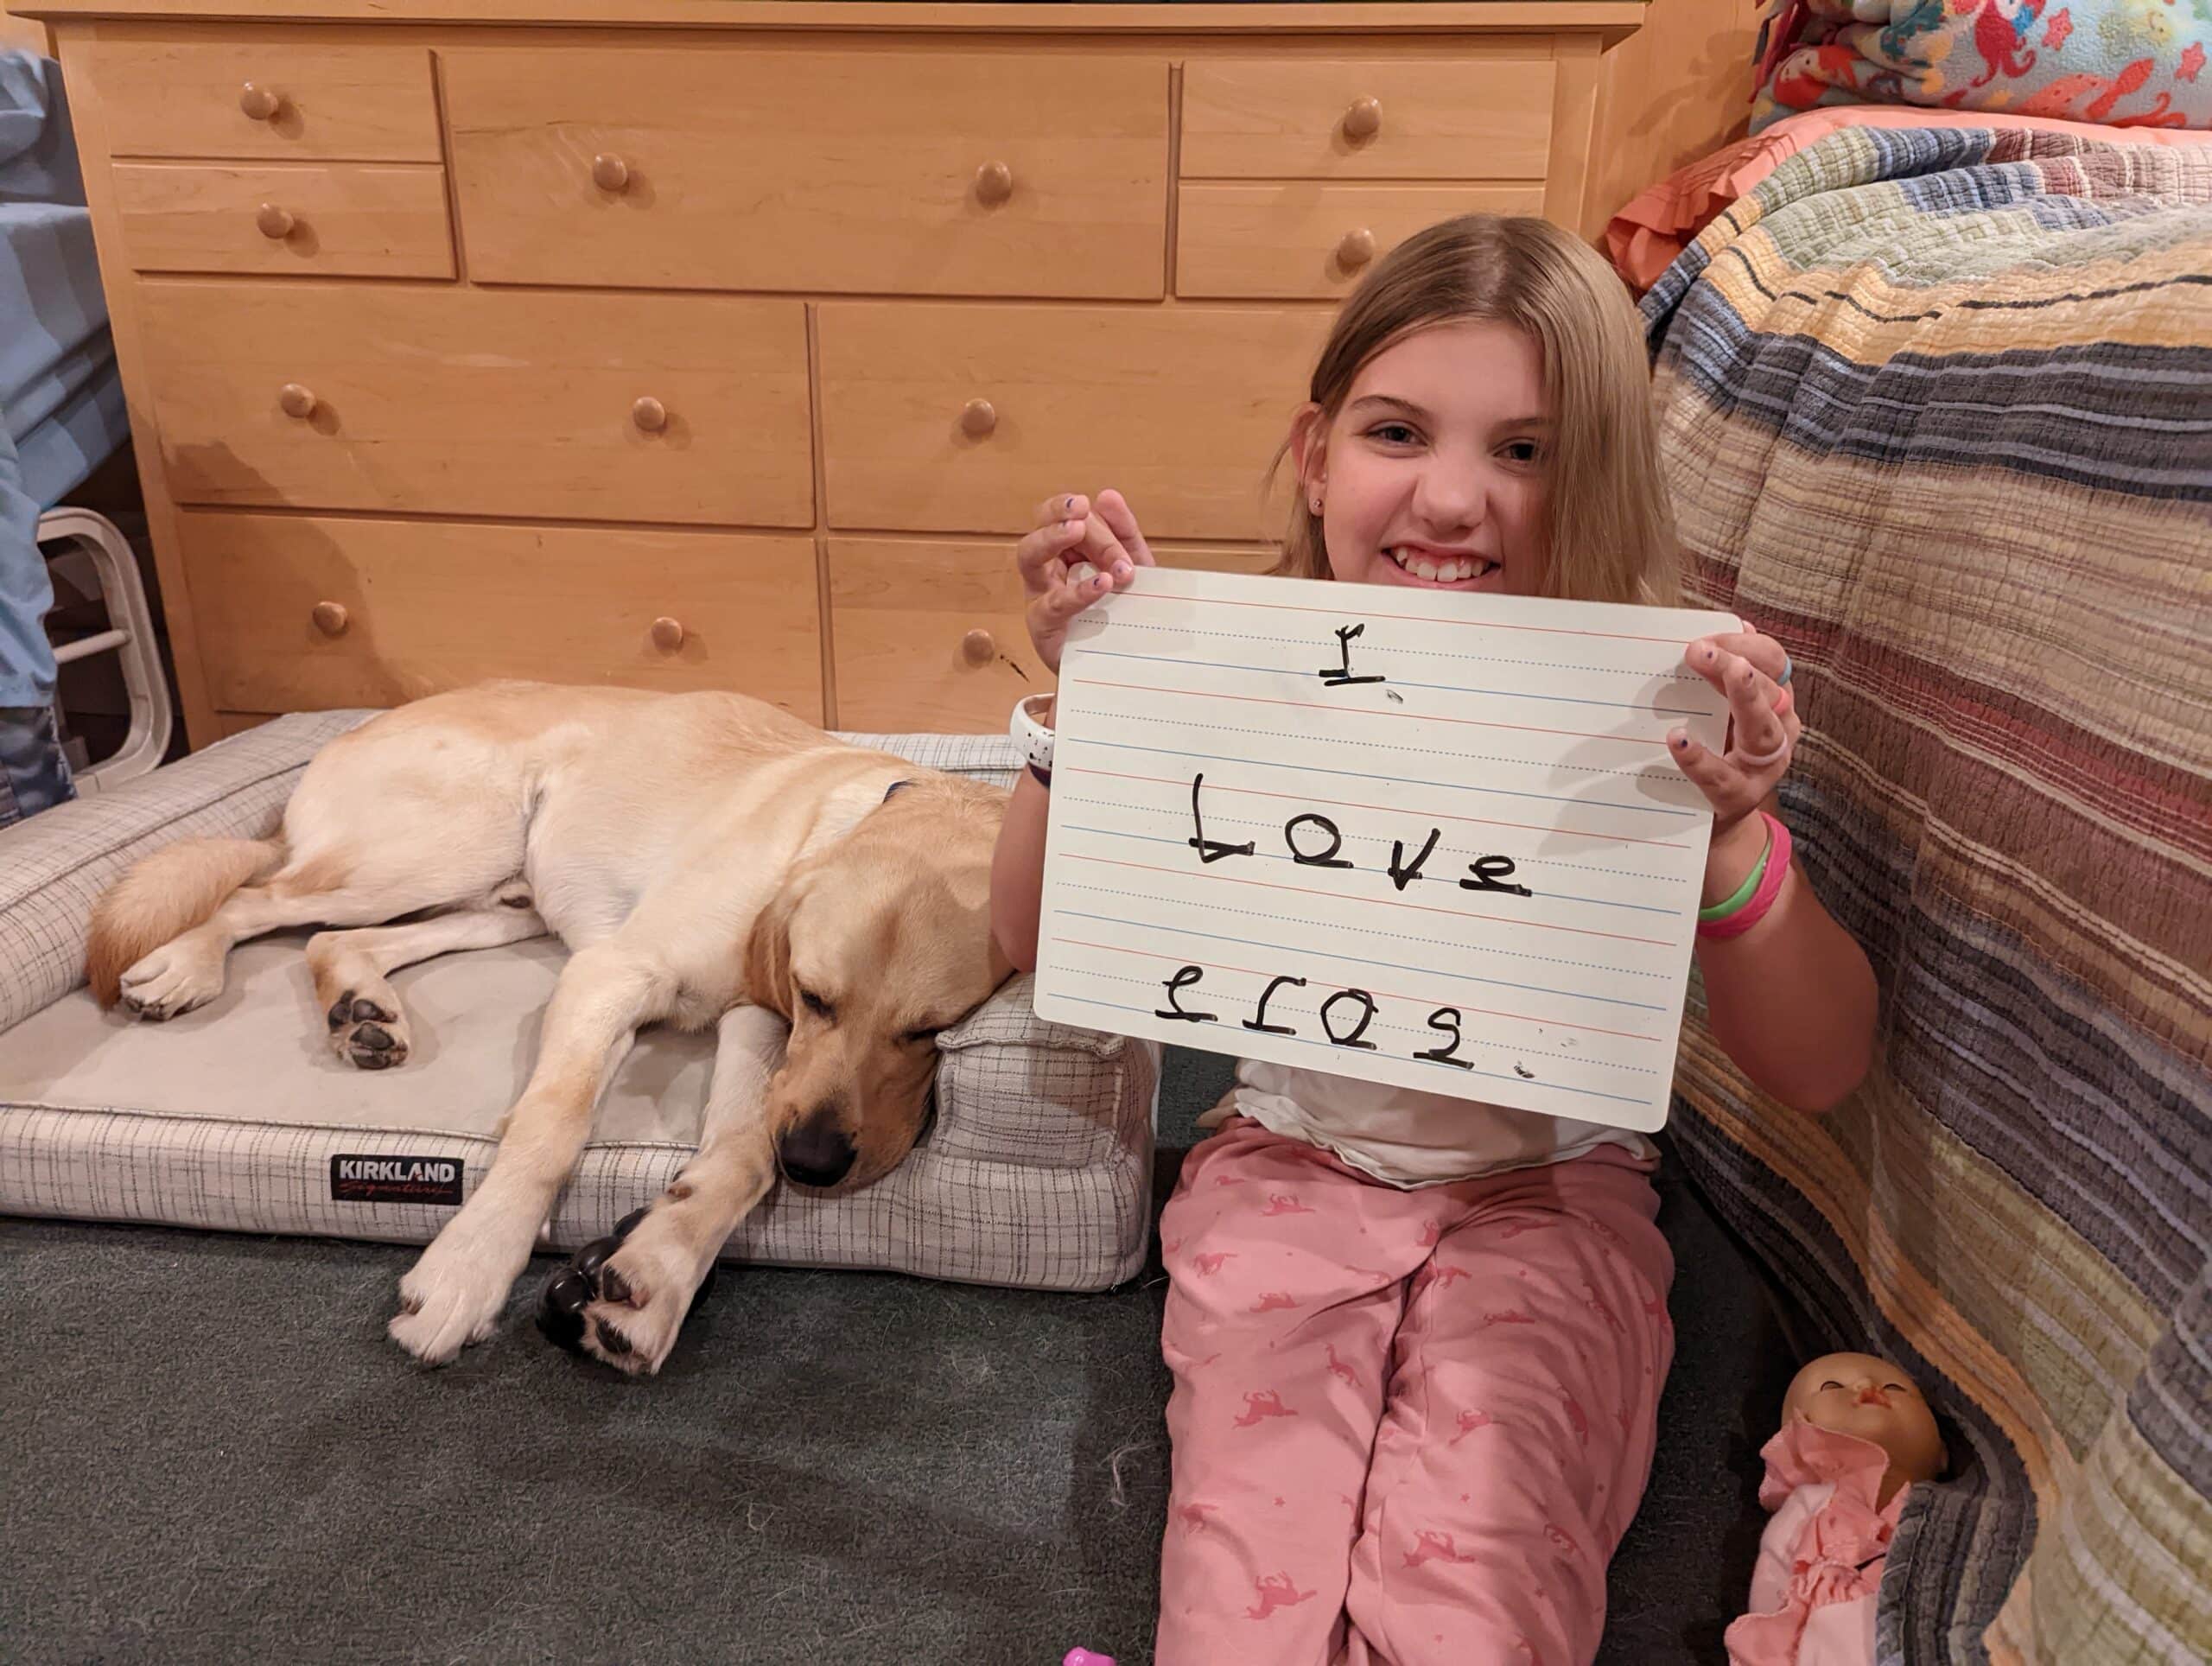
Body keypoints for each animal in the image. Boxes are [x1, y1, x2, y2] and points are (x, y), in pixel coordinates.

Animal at [84, 677, 1013, 1363]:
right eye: (818, 997)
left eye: (931, 1030)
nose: (814, 1164)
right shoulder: (618, 974)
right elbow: (552, 1128)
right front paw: (469, 1267)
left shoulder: (755, 1016)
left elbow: (743, 1156)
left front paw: (661, 1269)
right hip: (439, 846)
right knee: (255, 894)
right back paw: (183, 965)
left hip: (502, 902)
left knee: (331, 938)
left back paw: (363, 1010)